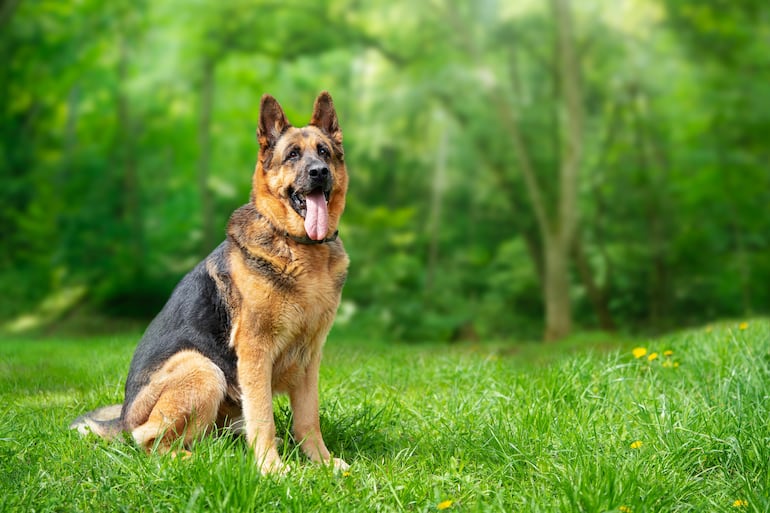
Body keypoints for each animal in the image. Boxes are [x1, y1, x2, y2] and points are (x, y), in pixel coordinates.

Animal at [70, 91, 350, 472]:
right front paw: (272, 470)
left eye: (323, 152)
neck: (299, 247)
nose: (319, 172)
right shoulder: (255, 353)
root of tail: (125, 416)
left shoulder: (309, 358)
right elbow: (263, 416)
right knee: (150, 441)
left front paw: (321, 463)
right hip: (202, 368)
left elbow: (309, 419)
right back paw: (195, 461)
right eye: (293, 155)